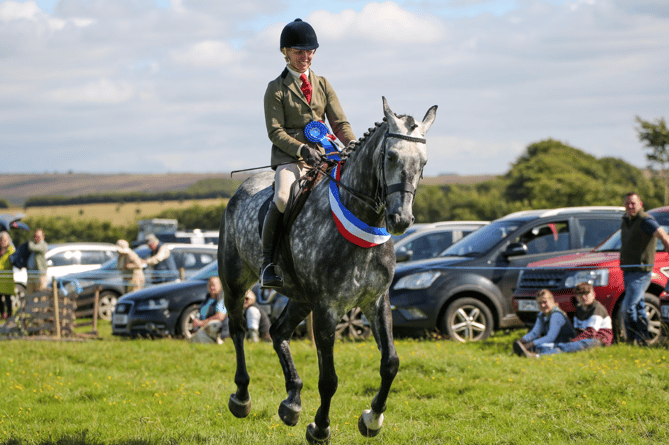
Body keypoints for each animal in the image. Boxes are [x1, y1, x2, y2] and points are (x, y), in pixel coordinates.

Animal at [219, 97, 436, 440]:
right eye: (390, 156)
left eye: (424, 162)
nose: (401, 219)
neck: (362, 221)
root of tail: (243, 189)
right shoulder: (327, 308)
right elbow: (329, 379)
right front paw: (320, 428)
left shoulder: (376, 301)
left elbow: (390, 362)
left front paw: (372, 418)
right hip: (235, 281)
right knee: (238, 330)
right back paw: (242, 397)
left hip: (300, 297)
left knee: (278, 332)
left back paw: (292, 401)